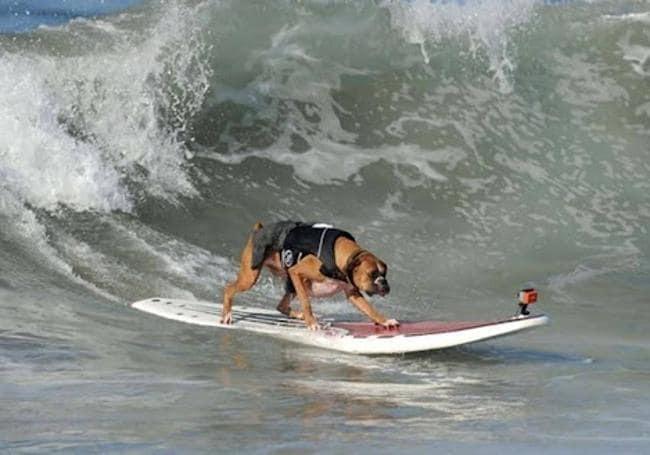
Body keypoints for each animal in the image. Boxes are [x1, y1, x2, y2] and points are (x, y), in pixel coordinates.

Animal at [220, 222, 398, 332]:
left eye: (384, 273)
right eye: (372, 274)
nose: (384, 284)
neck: (339, 254)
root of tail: (259, 229)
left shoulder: (352, 293)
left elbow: (370, 309)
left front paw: (384, 320)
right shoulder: (296, 272)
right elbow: (306, 302)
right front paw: (312, 323)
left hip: (290, 285)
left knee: (281, 306)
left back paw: (298, 315)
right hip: (251, 277)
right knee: (229, 288)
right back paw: (227, 315)